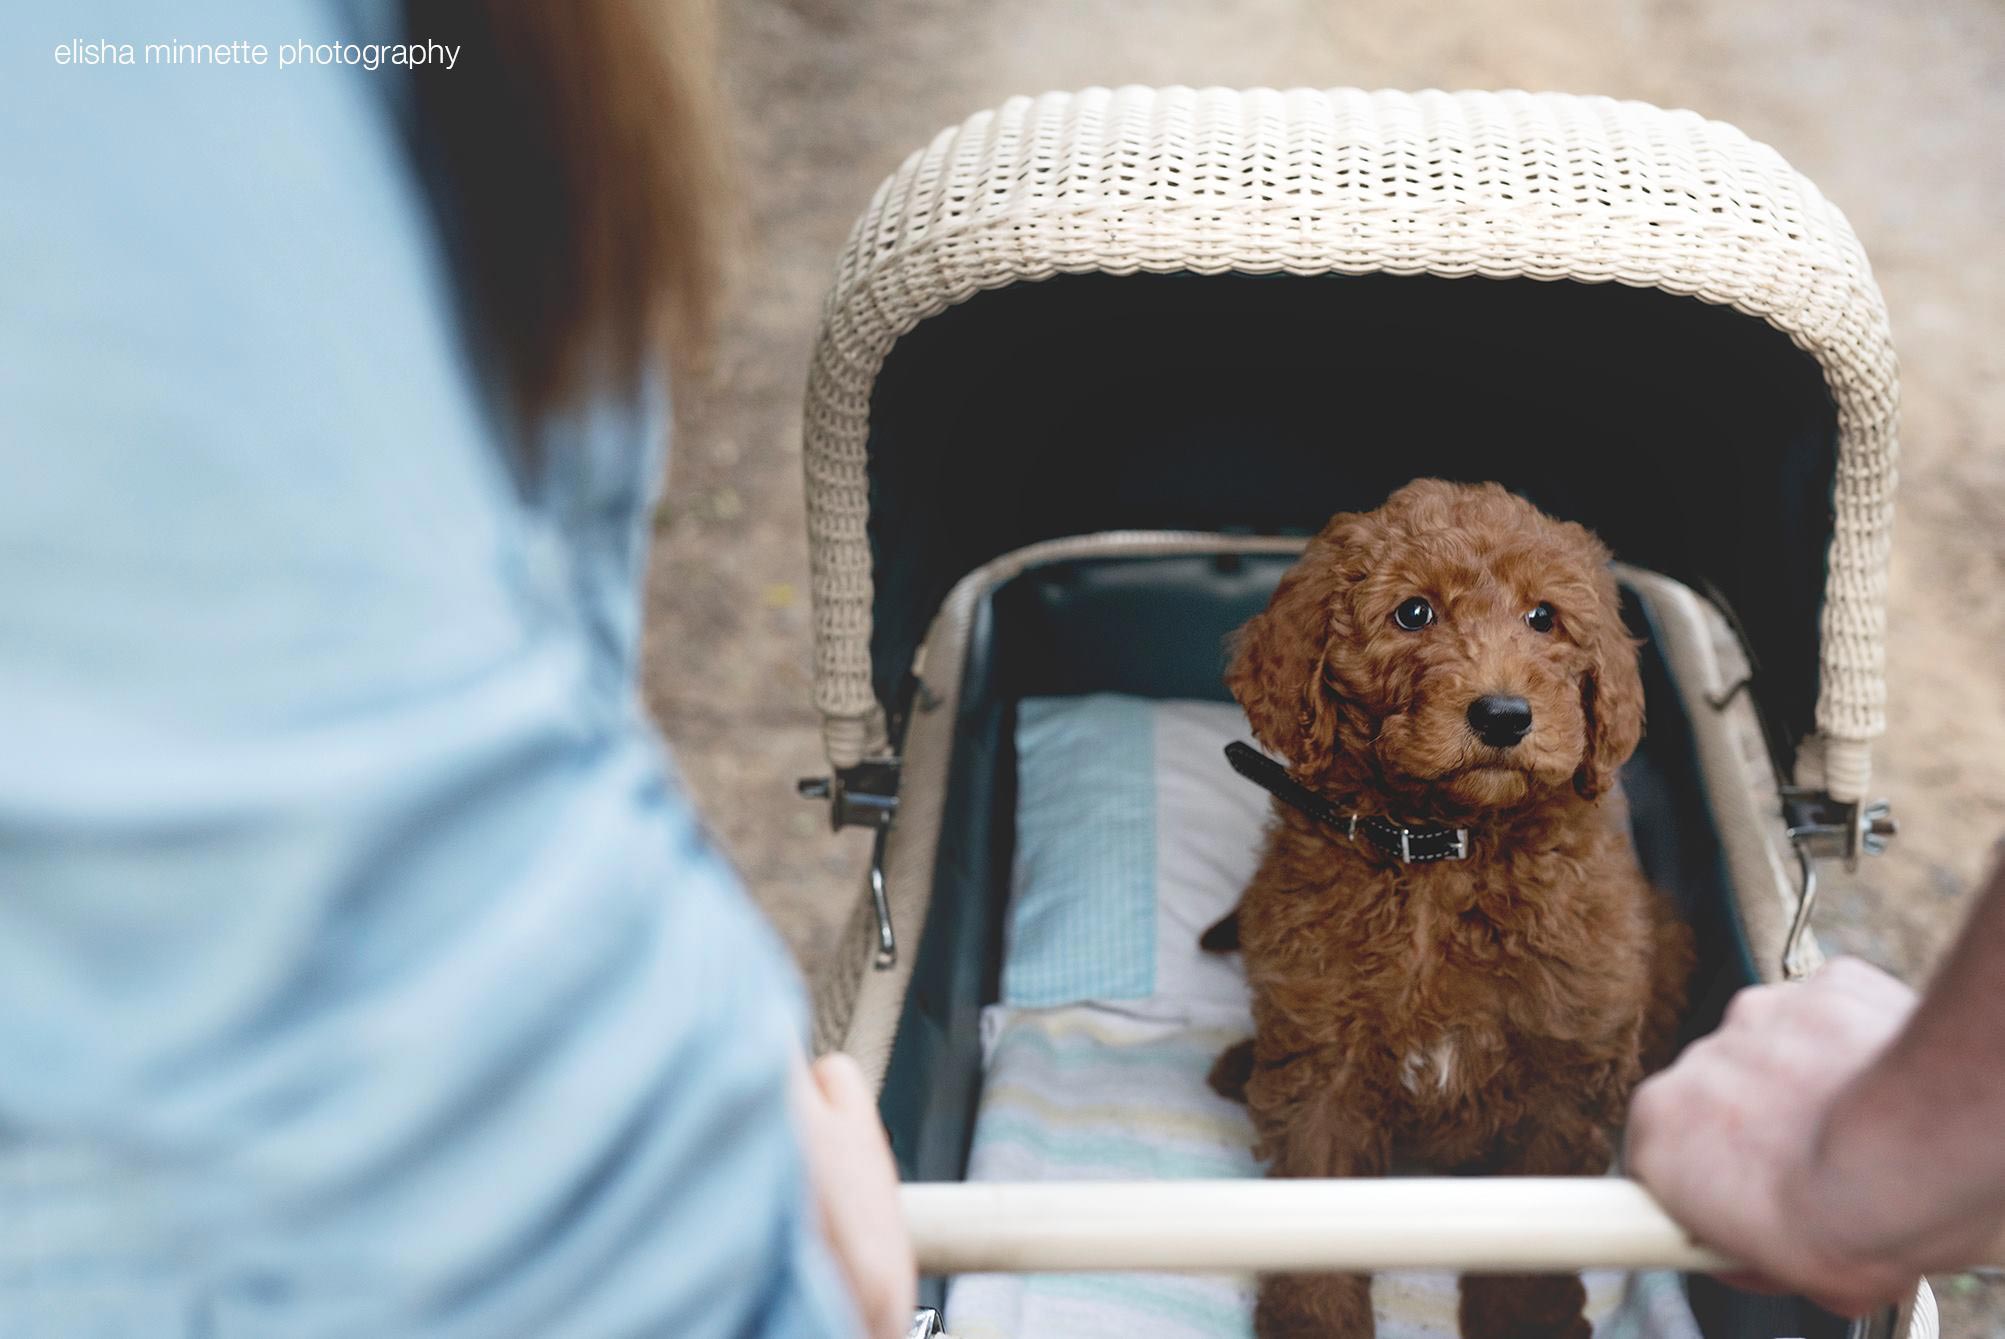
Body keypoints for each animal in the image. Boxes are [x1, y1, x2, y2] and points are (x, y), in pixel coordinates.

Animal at [1203, 481, 1692, 1339]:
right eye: (1412, 612)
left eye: (1542, 617)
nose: (1502, 714)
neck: (1443, 851)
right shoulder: (1323, 1060)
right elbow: (1311, 1208)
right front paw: (1314, 1319)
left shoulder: (1567, 1058)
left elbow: (1539, 1202)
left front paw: (1527, 1318)